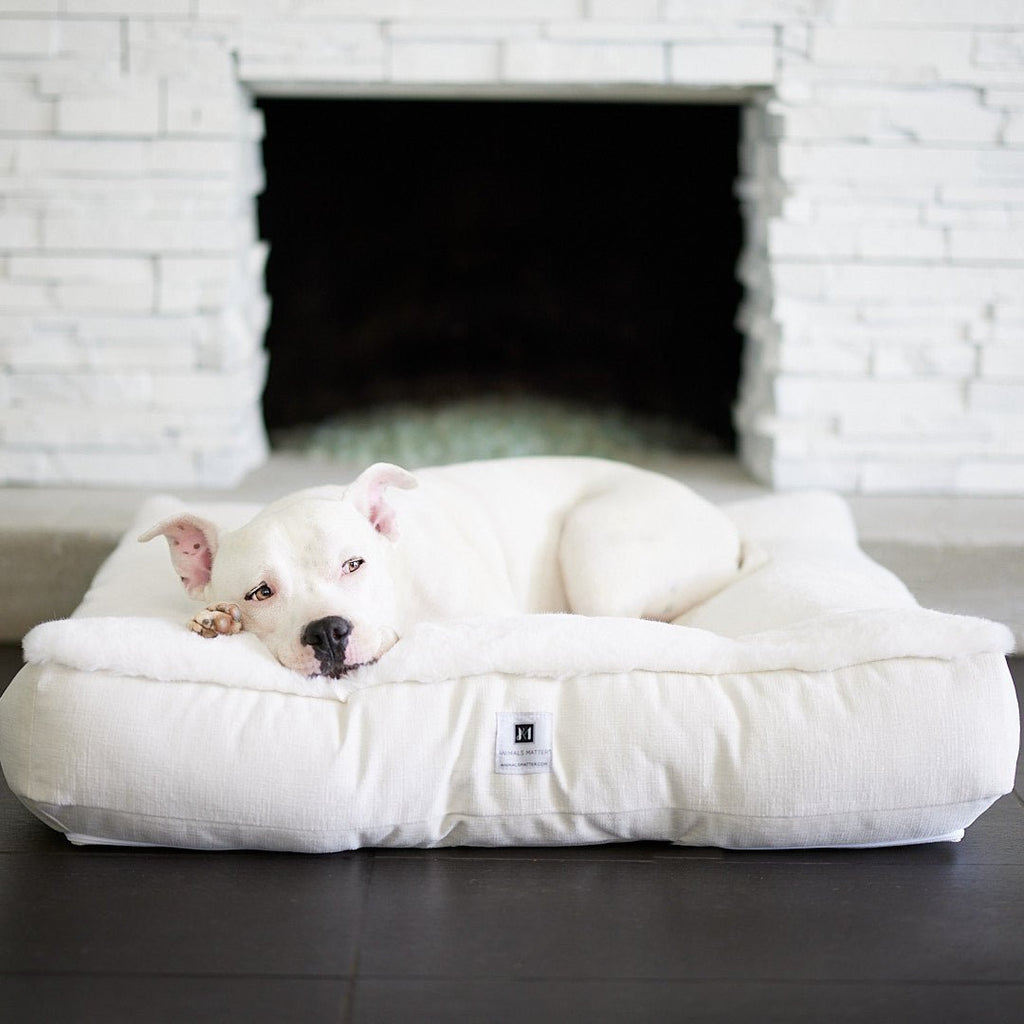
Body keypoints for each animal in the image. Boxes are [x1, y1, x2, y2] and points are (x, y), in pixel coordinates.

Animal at [140, 458, 741, 679]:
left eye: (354, 564)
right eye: (260, 593)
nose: (328, 632)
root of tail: (726, 524)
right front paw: (217, 621)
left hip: (593, 540)